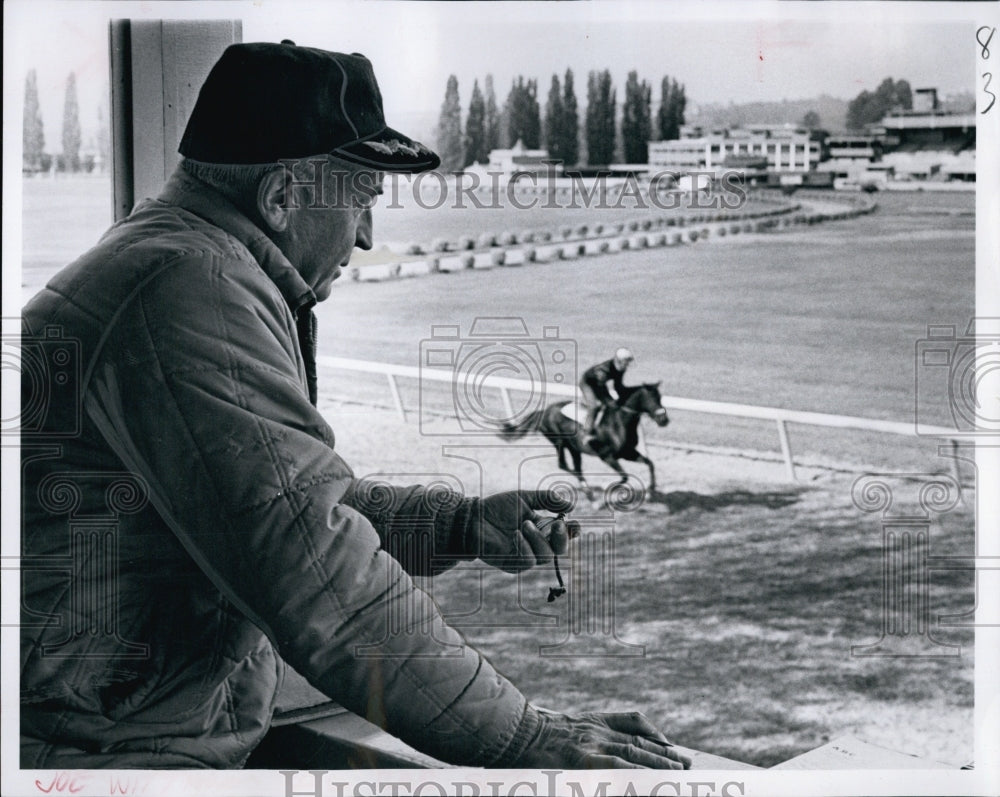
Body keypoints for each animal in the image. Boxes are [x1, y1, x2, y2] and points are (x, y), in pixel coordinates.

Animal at [500, 380, 672, 498]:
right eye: (651, 398)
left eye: (660, 397)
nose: (664, 420)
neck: (619, 422)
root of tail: (544, 411)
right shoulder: (607, 456)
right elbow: (624, 476)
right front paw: (606, 488)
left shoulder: (626, 453)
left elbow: (650, 464)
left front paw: (651, 489)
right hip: (560, 442)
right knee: (564, 465)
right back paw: (589, 492)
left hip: (574, 448)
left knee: (576, 467)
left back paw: (588, 491)